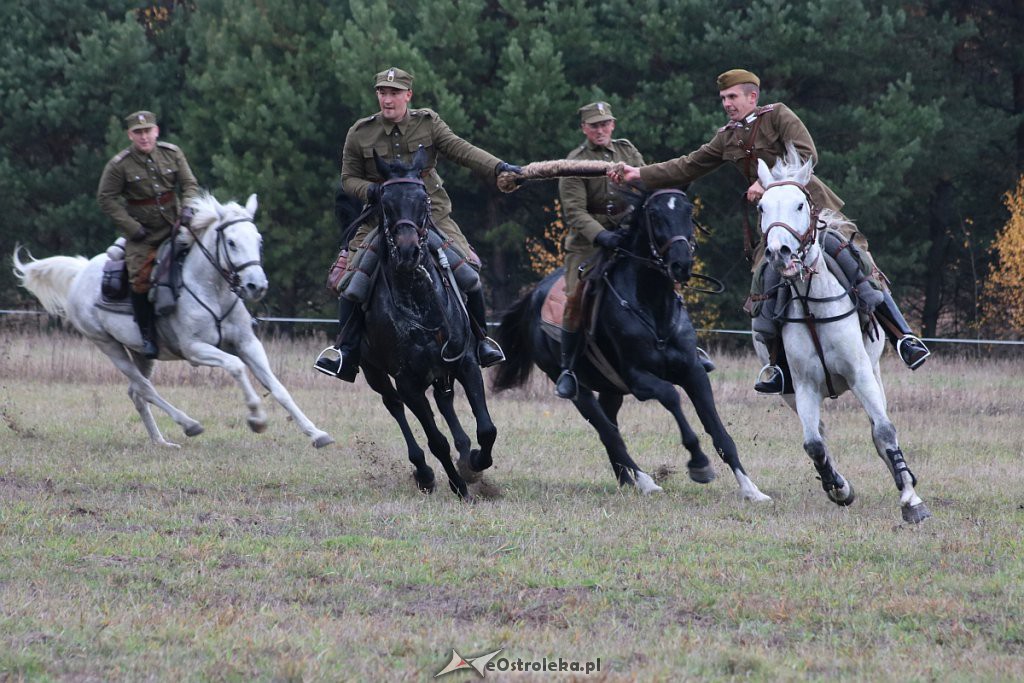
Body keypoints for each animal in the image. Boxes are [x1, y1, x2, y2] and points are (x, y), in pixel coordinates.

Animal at [12, 192, 331, 448]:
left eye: (259, 241)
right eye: (231, 242)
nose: (256, 286)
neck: (211, 289)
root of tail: (80, 272)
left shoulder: (247, 343)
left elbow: (278, 388)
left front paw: (316, 433)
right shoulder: (195, 350)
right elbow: (236, 367)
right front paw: (256, 418)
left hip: (141, 353)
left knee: (136, 393)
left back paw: (161, 442)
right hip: (108, 346)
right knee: (145, 388)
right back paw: (189, 424)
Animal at [358, 148, 497, 497]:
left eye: (424, 201)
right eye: (385, 202)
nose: (408, 252)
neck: (419, 305)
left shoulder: (466, 363)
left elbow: (487, 429)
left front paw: (475, 463)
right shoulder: (407, 382)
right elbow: (436, 440)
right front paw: (458, 485)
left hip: (439, 371)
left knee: (444, 402)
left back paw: (464, 452)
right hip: (374, 373)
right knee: (394, 406)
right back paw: (423, 472)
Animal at [493, 188, 770, 501]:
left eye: (688, 212)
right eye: (655, 215)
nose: (681, 264)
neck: (653, 306)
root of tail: (534, 296)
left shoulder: (694, 373)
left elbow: (718, 430)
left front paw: (751, 489)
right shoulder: (638, 379)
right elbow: (671, 397)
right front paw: (699, 463)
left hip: (612, 389)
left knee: (610, 426)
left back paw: (627, 479)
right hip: (577, 390)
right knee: (607, 431)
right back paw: (645, 481)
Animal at [753, 150, 929, 524]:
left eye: (800, 205)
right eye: (762, 207)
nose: (779, 252)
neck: (812, 305)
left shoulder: (861, 375)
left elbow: (884, 431)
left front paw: (910, 499)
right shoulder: (803, 386)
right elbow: (814, 444)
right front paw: (839, 487)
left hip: (874, 373)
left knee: (879, 430)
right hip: (789, 393)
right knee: (818, 434)